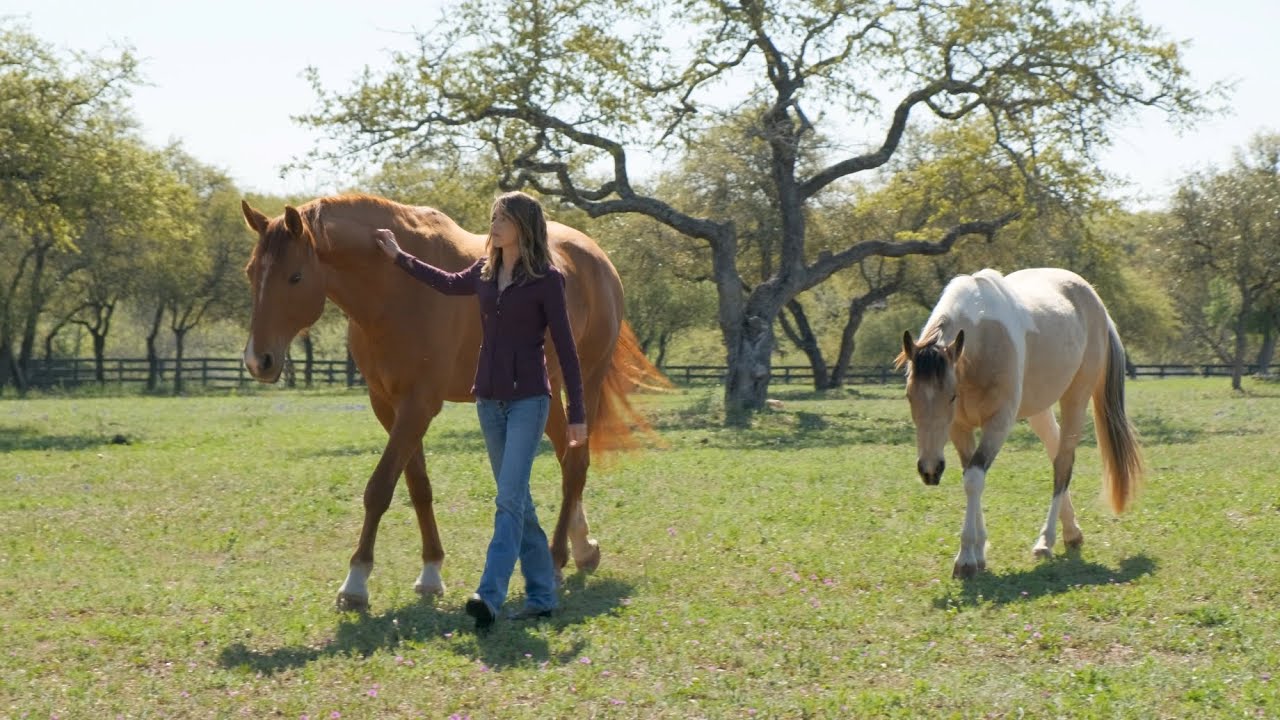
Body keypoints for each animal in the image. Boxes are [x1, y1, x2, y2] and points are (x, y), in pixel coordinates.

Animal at [239, 193, 666, 611]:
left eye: (295, 276)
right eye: (250, 273)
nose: (258, 360)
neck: (393, 291)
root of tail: (599, 259)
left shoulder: (419, 405)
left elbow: (379, 489)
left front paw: (356, 583)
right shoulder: (388, 406)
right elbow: (417, 487)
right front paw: (430, 573)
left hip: (586, 381)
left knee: (576, 464)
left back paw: (558, 558)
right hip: (547, 391)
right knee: (566, 459)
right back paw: (583, 547)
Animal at [896, 268, 1143, 579]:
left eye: (951, 396)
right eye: (909, 395)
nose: (930, 470)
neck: (984, 339)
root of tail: (1093, 299)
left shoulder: (999, 423)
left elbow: (973, 478)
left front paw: (966, 559)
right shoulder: (959, 428)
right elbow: (970, 477)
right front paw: (979, 552)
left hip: (1076, 398)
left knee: (1063, 463)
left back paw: (1046, 541)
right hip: (1040, 410)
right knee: (1055, 450)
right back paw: (1072, 533)